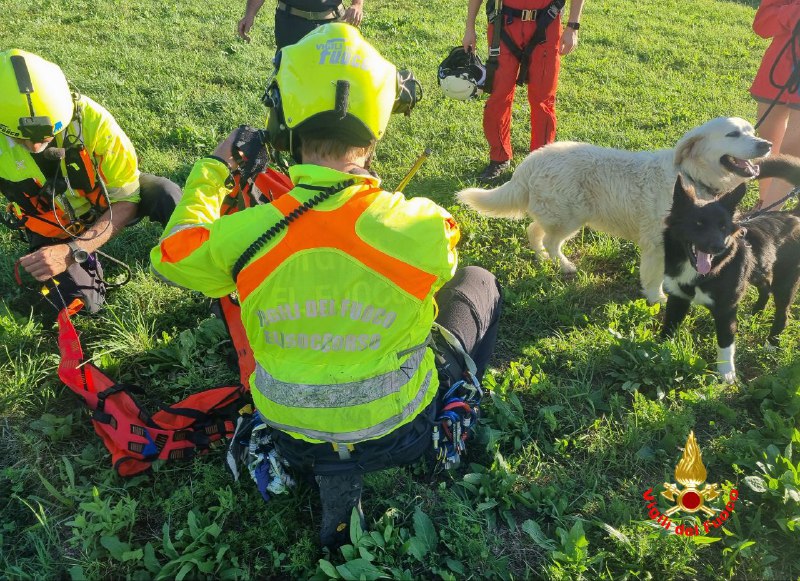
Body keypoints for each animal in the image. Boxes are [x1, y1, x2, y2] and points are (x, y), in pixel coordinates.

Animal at [454, 115, 772, 302]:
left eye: (751, 131)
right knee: (551, 240)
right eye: (733, 134)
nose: (767, 144)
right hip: (570, 217)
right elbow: (654, 278)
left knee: (534, 230)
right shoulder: (656, 244)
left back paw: (542, 258)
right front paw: (657, 300)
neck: (692, 179)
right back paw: (564, 265)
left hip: (557, 213)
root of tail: (531, 160)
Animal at [660, 154, 800, 380]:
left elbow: (725, 343)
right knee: (765, 288)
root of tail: (793, 214)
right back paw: (755, 313)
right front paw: (658, 349)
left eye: (723, 227)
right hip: (757, 271)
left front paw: (727, 375)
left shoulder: (726, 310)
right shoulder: (677, 297)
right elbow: (669, 325)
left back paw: (771, 344)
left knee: (783, 313)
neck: (700, 274)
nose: (719, 246)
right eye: (698, 223)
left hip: (785, 283)